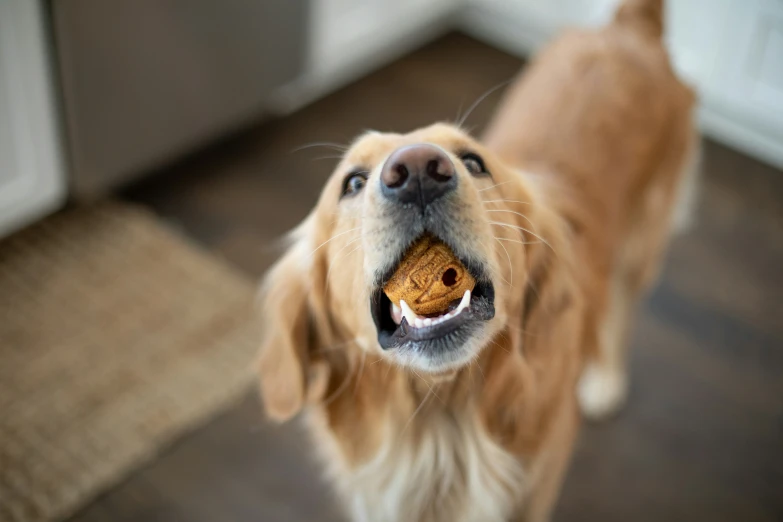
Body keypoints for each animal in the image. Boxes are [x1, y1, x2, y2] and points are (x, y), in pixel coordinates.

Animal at [258, 2, 700, 516]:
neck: (442, 433)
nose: (417, 171)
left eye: (473, 162)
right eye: (352, 182)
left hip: (643, 243)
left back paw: (605, 381)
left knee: (622, 309)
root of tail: (627, 30)